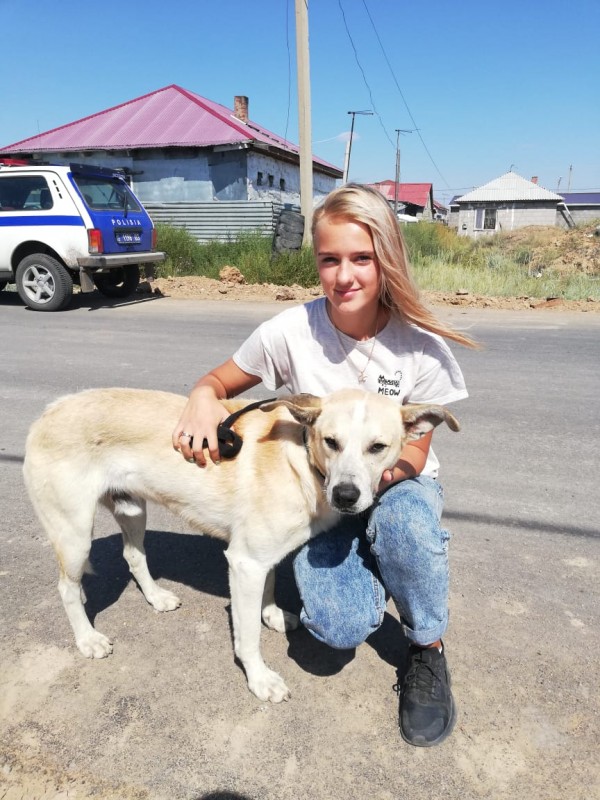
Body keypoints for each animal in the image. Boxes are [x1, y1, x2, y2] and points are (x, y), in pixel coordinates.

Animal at [23, 387, 459, 703]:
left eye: (378, 447)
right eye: (331, 441)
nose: (346, 496)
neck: (301, 461)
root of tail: (48, 412)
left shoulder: (261, 559)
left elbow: (268, 591)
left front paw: (272, 615)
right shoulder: (244, 562)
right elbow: (247, 635)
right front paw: (260, 678)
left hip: (131, 509)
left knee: (133, 554)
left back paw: (156, 597)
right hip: (75, 534)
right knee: (67, 588)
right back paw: (87, 639)